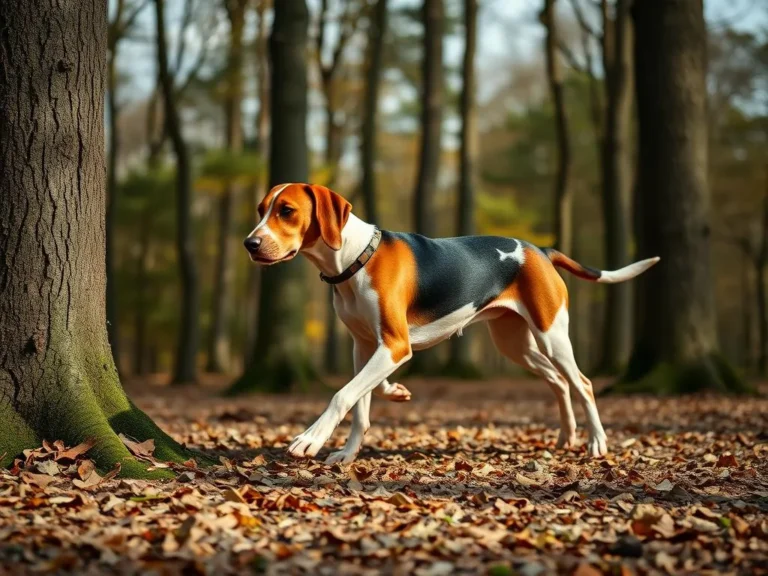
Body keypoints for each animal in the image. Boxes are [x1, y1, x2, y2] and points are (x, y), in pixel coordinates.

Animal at [243, 183, 656, 464]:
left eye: (286, 211)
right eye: (262, 209)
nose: (250, 243)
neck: (356, 258)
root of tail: (540, 249)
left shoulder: (395, 344)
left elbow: (342, 394)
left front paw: (310, 438)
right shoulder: (364, 347)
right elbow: (360, 404)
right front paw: (350, 450)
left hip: (552, 335)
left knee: (582, 383)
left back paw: (596, 442)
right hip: (516, 344)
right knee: (558, 381)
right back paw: (566, 436)